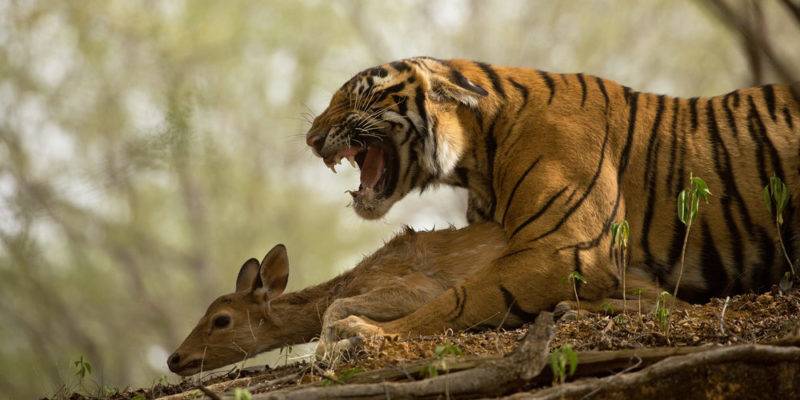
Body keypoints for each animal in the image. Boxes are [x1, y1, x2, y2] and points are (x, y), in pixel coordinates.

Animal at [304, 57, 800, 338]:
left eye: (355, 97)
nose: (311, 140)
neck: (477, 155)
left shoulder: (561, 250)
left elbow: (455, 300)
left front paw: (366, 332)